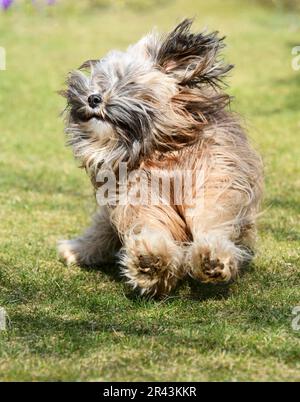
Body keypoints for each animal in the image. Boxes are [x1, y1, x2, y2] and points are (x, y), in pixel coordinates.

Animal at [57, 19, 264, 296]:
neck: (163, 152)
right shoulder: (139, 195)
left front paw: (212, 258)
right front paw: (150, 262)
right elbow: (153, 224)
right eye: (100, 82)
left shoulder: (215, 179)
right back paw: (77, 249)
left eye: (129, 85)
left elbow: (210, 217)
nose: (93, 98)